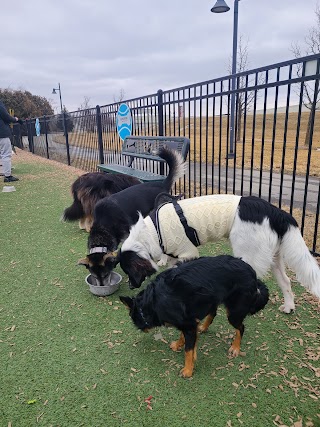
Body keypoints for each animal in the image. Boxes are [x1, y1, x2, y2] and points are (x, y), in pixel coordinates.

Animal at [119, 195, 320, 314]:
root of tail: (277, 212)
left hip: (247, 257)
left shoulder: (187, 253)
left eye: (129, 271)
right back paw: (289, 306)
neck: (153, 231)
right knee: (286, 282)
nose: (129, 286)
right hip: (274, 257)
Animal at [120, 256, 270, 380]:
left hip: (233, 312)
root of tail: (252, 272)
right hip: (212, 300)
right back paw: (203, 327)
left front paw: (188, 370)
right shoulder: (188, 321)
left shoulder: (188, 324)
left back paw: (236, 347)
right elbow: (183, 336)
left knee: (241, 327)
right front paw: (179, 344)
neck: (152, 303)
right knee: (213, 313)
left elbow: (188, 350)